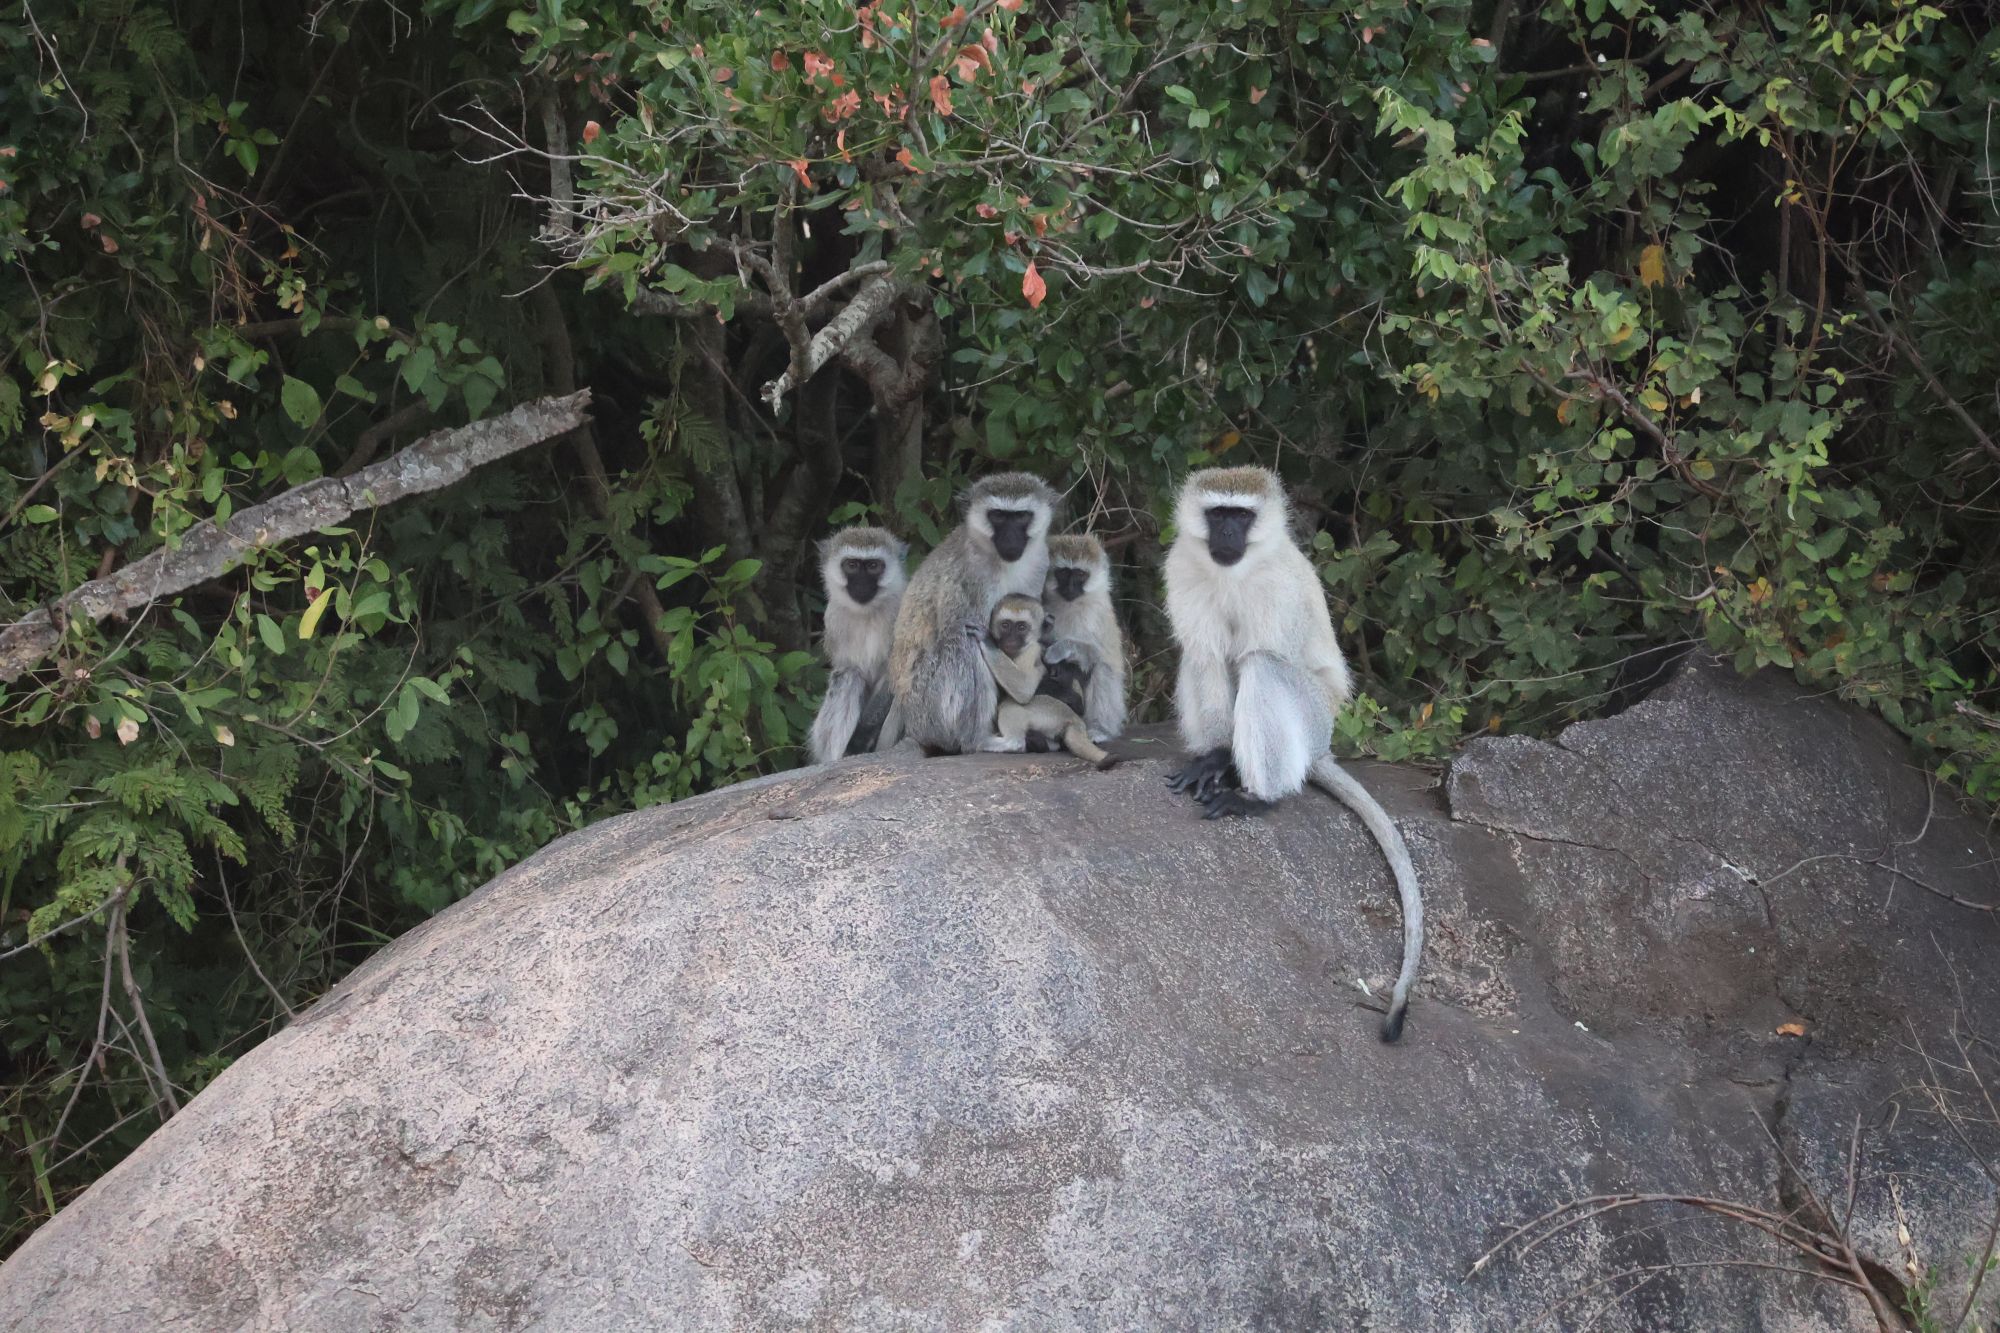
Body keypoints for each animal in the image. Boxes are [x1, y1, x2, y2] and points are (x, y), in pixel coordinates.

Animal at [808, 526, 908, 764]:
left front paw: (860, 738)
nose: (861, 585)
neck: (867, 612)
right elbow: (847, 668)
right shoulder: (833, 621)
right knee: (848, 675)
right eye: (852, 565)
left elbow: (896, 673)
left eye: (873, 566)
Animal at [888, 472, 1060, 755]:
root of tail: (914, 727)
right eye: (998, 516)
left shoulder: (1039, 565)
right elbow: (970, 633)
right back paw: (976, 740)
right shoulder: (967, 577)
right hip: (929, 710)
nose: (1011, 539)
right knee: (962, 641)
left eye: (1021, 517)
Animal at [978, 594, 1117, 770]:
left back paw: (1007, 743)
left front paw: (988, 642)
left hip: (1051, 713)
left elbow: (1024, 691)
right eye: (1005, 625)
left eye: (1021, 627)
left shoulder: (1030, 652)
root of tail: (1075, 721)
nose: (1011, 639)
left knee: (1011, 706)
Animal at [1042, 533, 1129, 743]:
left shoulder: (1094, 614)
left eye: (1080, 574)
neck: (1069, 605)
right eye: (1064, 573)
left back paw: (1100, 729)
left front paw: (1060, 649)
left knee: (1101, 671)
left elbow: (1097, 653)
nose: (1070, 587)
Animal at [1161, 465, 1425, 1043]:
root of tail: (1323, 745)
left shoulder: (1276, 590)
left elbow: (1259, 656)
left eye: (1241, 517)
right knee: (1200, 655)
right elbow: (1207, 655)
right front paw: (1213, 759)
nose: (1227, 535)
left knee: (1263, 665)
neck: (1236, 574)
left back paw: (1259, 796)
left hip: (1313, 718)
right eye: (1218, 514)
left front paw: (1235, 778)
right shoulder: (1181, 568)